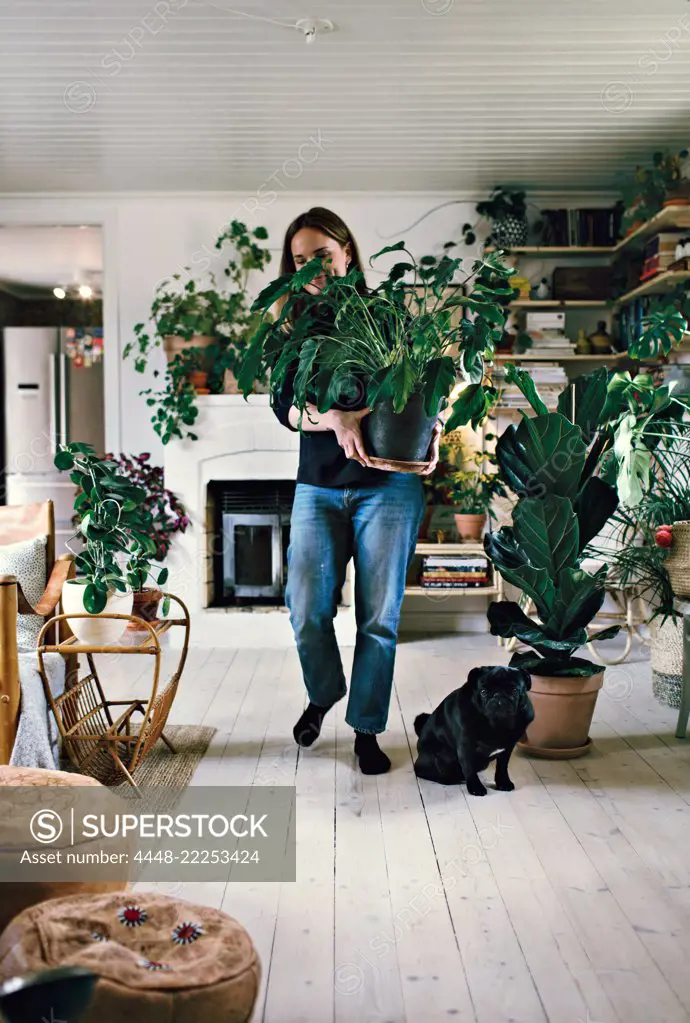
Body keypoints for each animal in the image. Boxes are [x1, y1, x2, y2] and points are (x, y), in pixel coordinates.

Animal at [413, 662, 532, 797]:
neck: (497, 723)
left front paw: (503, 783)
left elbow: (502, 767)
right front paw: (476, 787)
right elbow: (469, 768)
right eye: (483, 692)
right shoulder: (466, 746)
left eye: (514, 691)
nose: (498, 696)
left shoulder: (508, 748)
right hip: (443, 756)